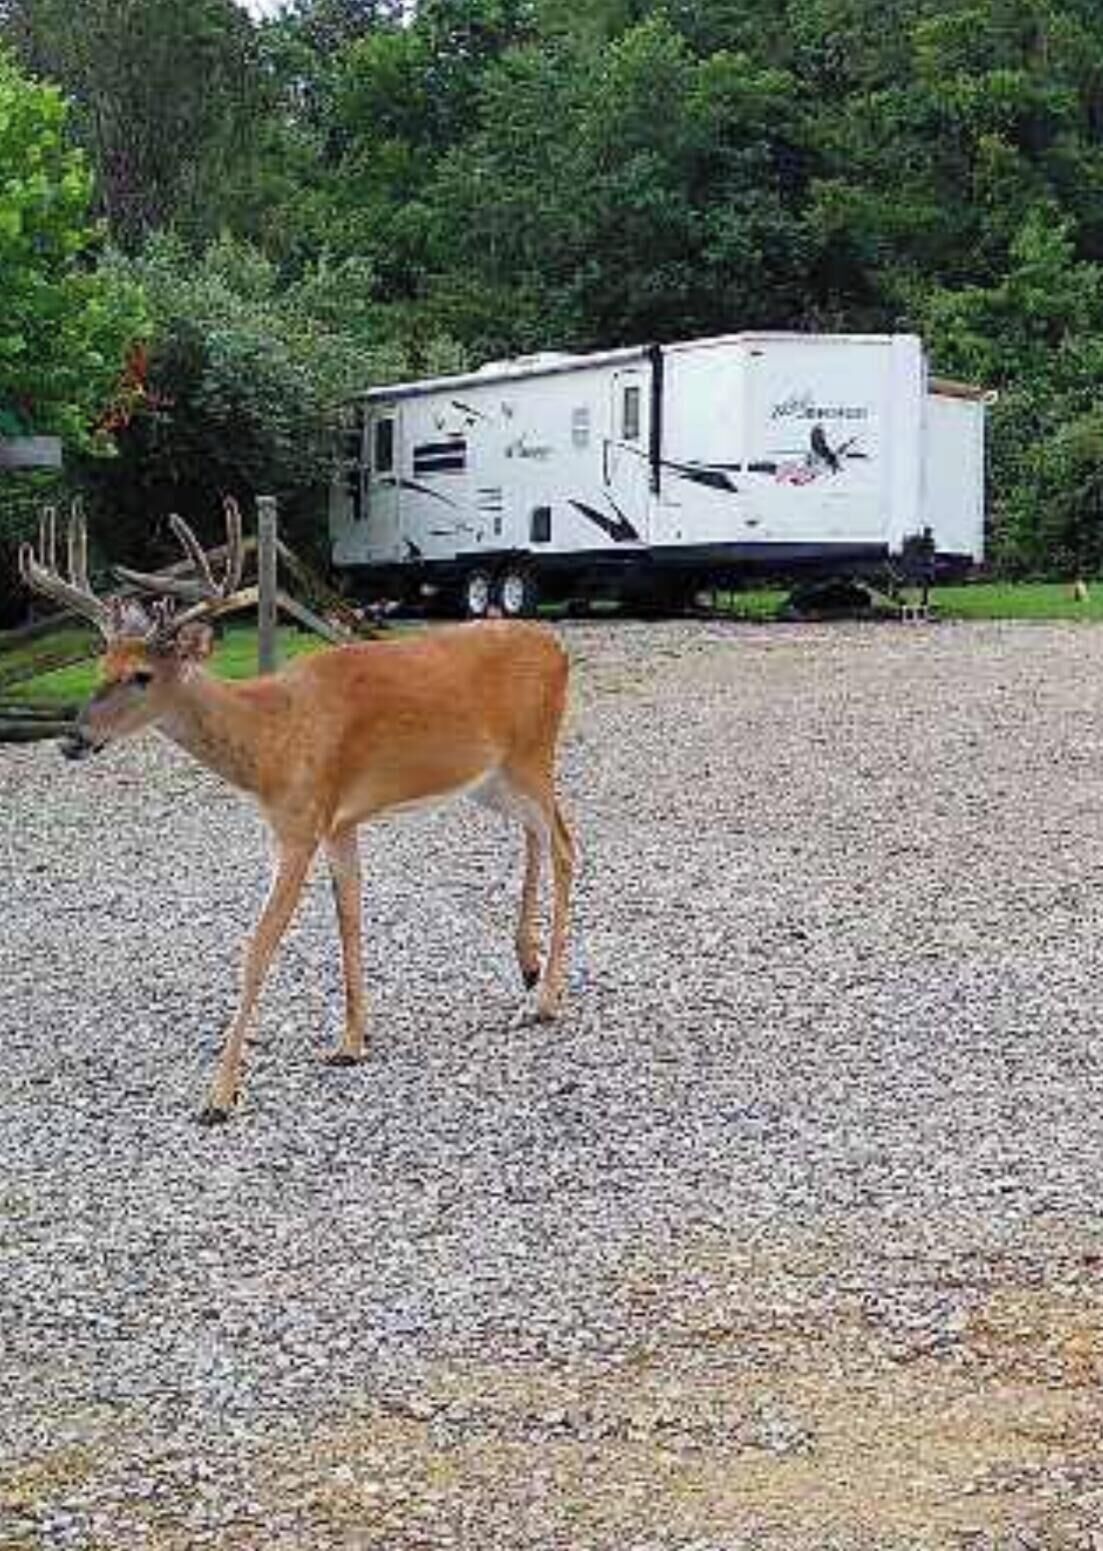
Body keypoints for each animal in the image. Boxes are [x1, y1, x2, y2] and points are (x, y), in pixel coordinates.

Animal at [20, 501, 575, 1124]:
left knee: (564, 842)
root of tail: (558, 648)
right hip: (489, 778)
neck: (270, 738)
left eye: (141, 675)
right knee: (534, 833)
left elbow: (258, 947)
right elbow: (348, 918)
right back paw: (526, 965)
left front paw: (219, 1095)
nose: (73, 738)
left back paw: (544, 1001)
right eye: (102, 665)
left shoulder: (299, 824)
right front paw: (353, 1041)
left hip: (532, 752)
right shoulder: (341, 822)